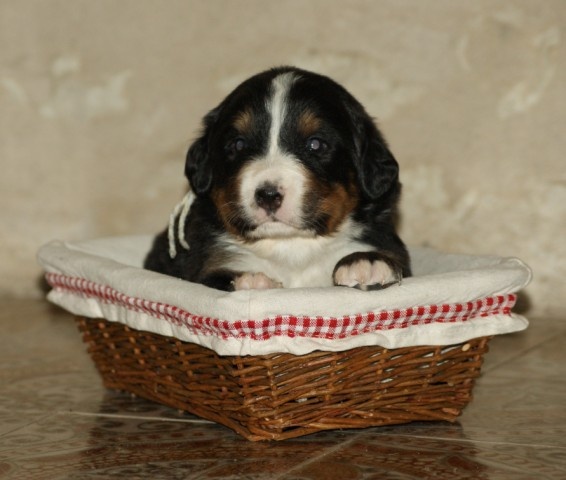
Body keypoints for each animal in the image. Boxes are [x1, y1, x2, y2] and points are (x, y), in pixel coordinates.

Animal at [144, 66, 411, 292]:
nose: (268, 195)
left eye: (315, 144)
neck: (290, 247)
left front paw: (367, 264)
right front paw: (252, 280)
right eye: (238, 145)